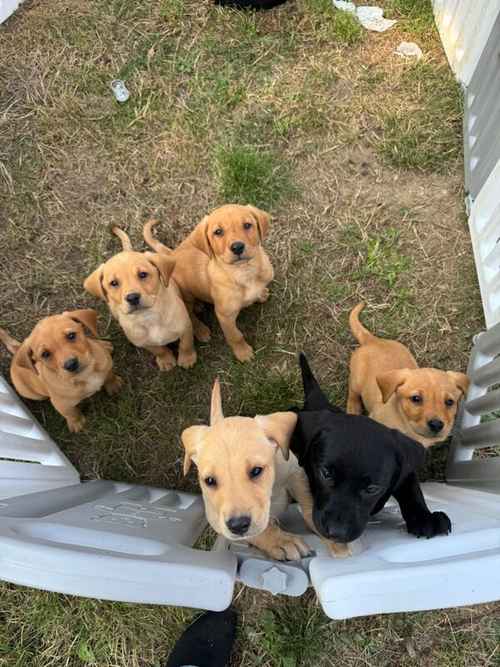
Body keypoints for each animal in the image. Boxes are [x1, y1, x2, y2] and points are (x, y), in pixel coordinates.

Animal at [84, 227, 195, 374]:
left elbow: (186, 344)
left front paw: (187, 359)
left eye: (143, 274)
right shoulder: (143, 342)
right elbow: (159, 350)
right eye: (113, 283)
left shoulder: (185, 328)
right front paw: (166, 360)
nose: (132, 297)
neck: (148, 317)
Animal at [143, 204, 276, 362]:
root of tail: (172, 255)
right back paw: (200, 330)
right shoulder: (224, 316)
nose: (237, 247)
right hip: (184, 295)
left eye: (247, 225)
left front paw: (261, 294)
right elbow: (235, 336)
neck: (244, 271)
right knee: (190, 316)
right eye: (218, 232)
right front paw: (243, 352)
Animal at [182, 378, 350, 560]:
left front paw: (333, 539)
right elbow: (257, 534)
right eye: (210, 481)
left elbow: (307, 504)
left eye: (256, 471)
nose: (238, 525)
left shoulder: (295, 473)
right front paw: (282, 542)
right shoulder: (217, 520)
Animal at [290, 352, 454, 544]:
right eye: (326, 474)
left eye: (372, 489)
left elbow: (413, 491)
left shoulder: (404, 471)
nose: (337, 533)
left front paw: (425, 518)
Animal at [348, 304, 468, 448]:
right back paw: (353, 408)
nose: (436, 425)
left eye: (450, 402)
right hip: (356, 380)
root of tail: (373, 340)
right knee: (352, 392)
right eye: (416, 399)